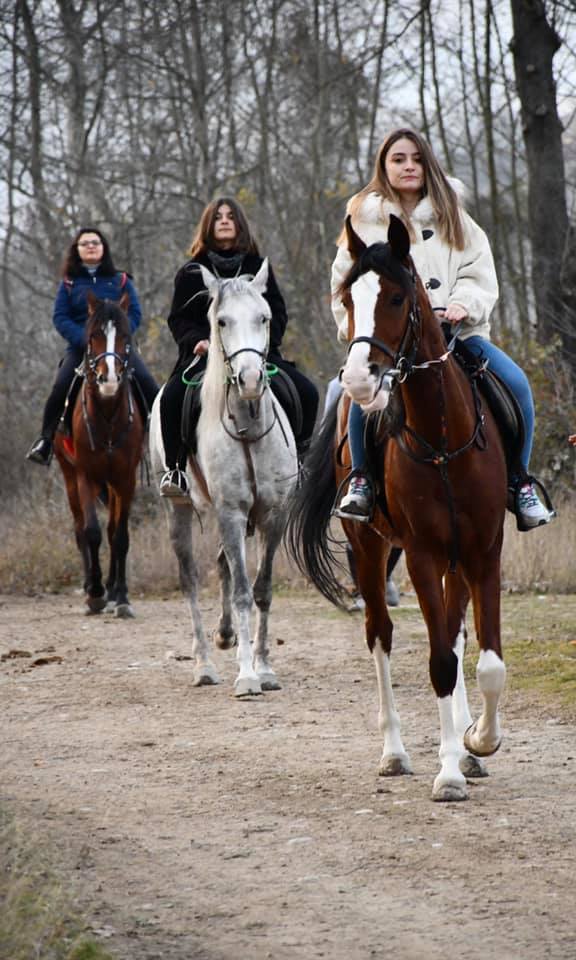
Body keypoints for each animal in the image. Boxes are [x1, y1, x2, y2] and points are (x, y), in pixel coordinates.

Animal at [53, 290, 145, 616]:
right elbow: (91, 531)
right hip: (68, 475)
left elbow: (118, 535)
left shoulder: (125, 479)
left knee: (111, 529)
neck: (106, 415)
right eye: (93, 336)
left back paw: (113, 589)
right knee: (80, 528)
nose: (110, 380)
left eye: (125, 336)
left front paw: (121, 596)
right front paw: (95, 592)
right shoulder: (85, 476)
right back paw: (90, 587)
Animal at [148, 260, 296, 696]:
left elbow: (262, 589)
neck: (248, 426)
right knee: (191, 580)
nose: (249, 381)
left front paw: (264, 667)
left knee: (223, 566)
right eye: (221, 321)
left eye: (264, 317)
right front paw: (246, 676)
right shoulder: (231, 512)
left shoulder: (273, 516)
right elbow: (244, 592)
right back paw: (204, 665)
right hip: (178, 510)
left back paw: (226, 635)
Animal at [286, 218, 506, 804]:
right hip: (370, 549)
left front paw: (477, 743)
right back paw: (395, 753)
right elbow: (439, 662)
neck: (443, 436)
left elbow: (486, 663)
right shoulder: (424, 556)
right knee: (380, 635)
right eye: (348, 299)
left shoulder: (483, 553)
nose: (361, 379)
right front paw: (449, 773)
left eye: (397, 297)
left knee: (454, 634)